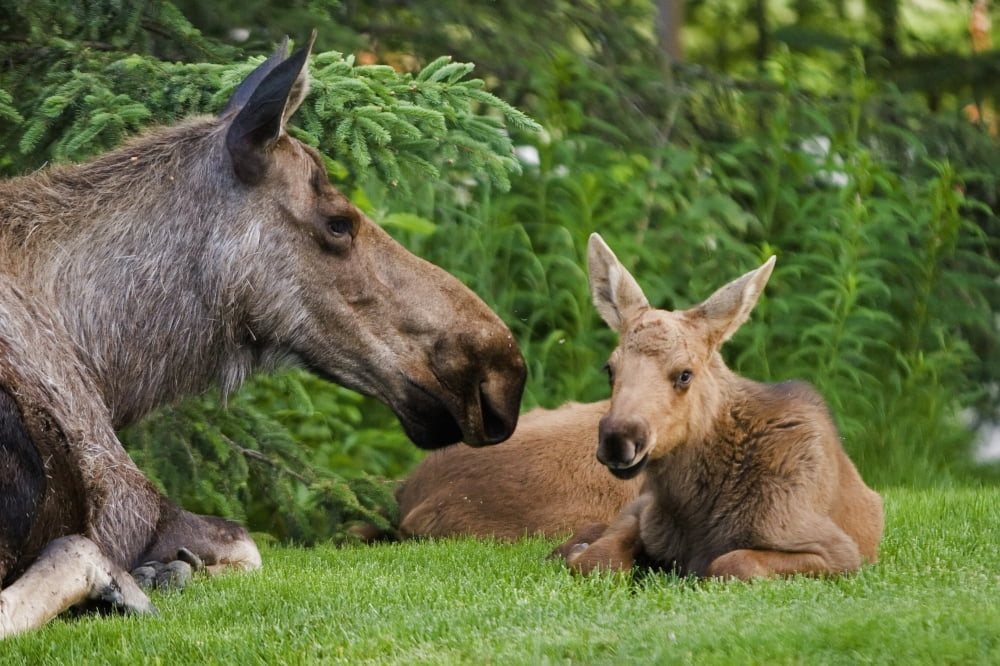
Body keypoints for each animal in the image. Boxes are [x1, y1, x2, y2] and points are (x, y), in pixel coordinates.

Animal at [0, 33, 526, 638]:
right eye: (339, 222)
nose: (501, 374)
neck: (102, 358)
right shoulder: (127, 497)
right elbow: (246, 544)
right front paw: (164, 570)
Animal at [550, 233, 883, 579]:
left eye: (685, 374)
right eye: (610, 369)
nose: (619, 439)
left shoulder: (839, 553)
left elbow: (731, 561)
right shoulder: (643, 512)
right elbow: (597, 558)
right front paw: (578, 550)